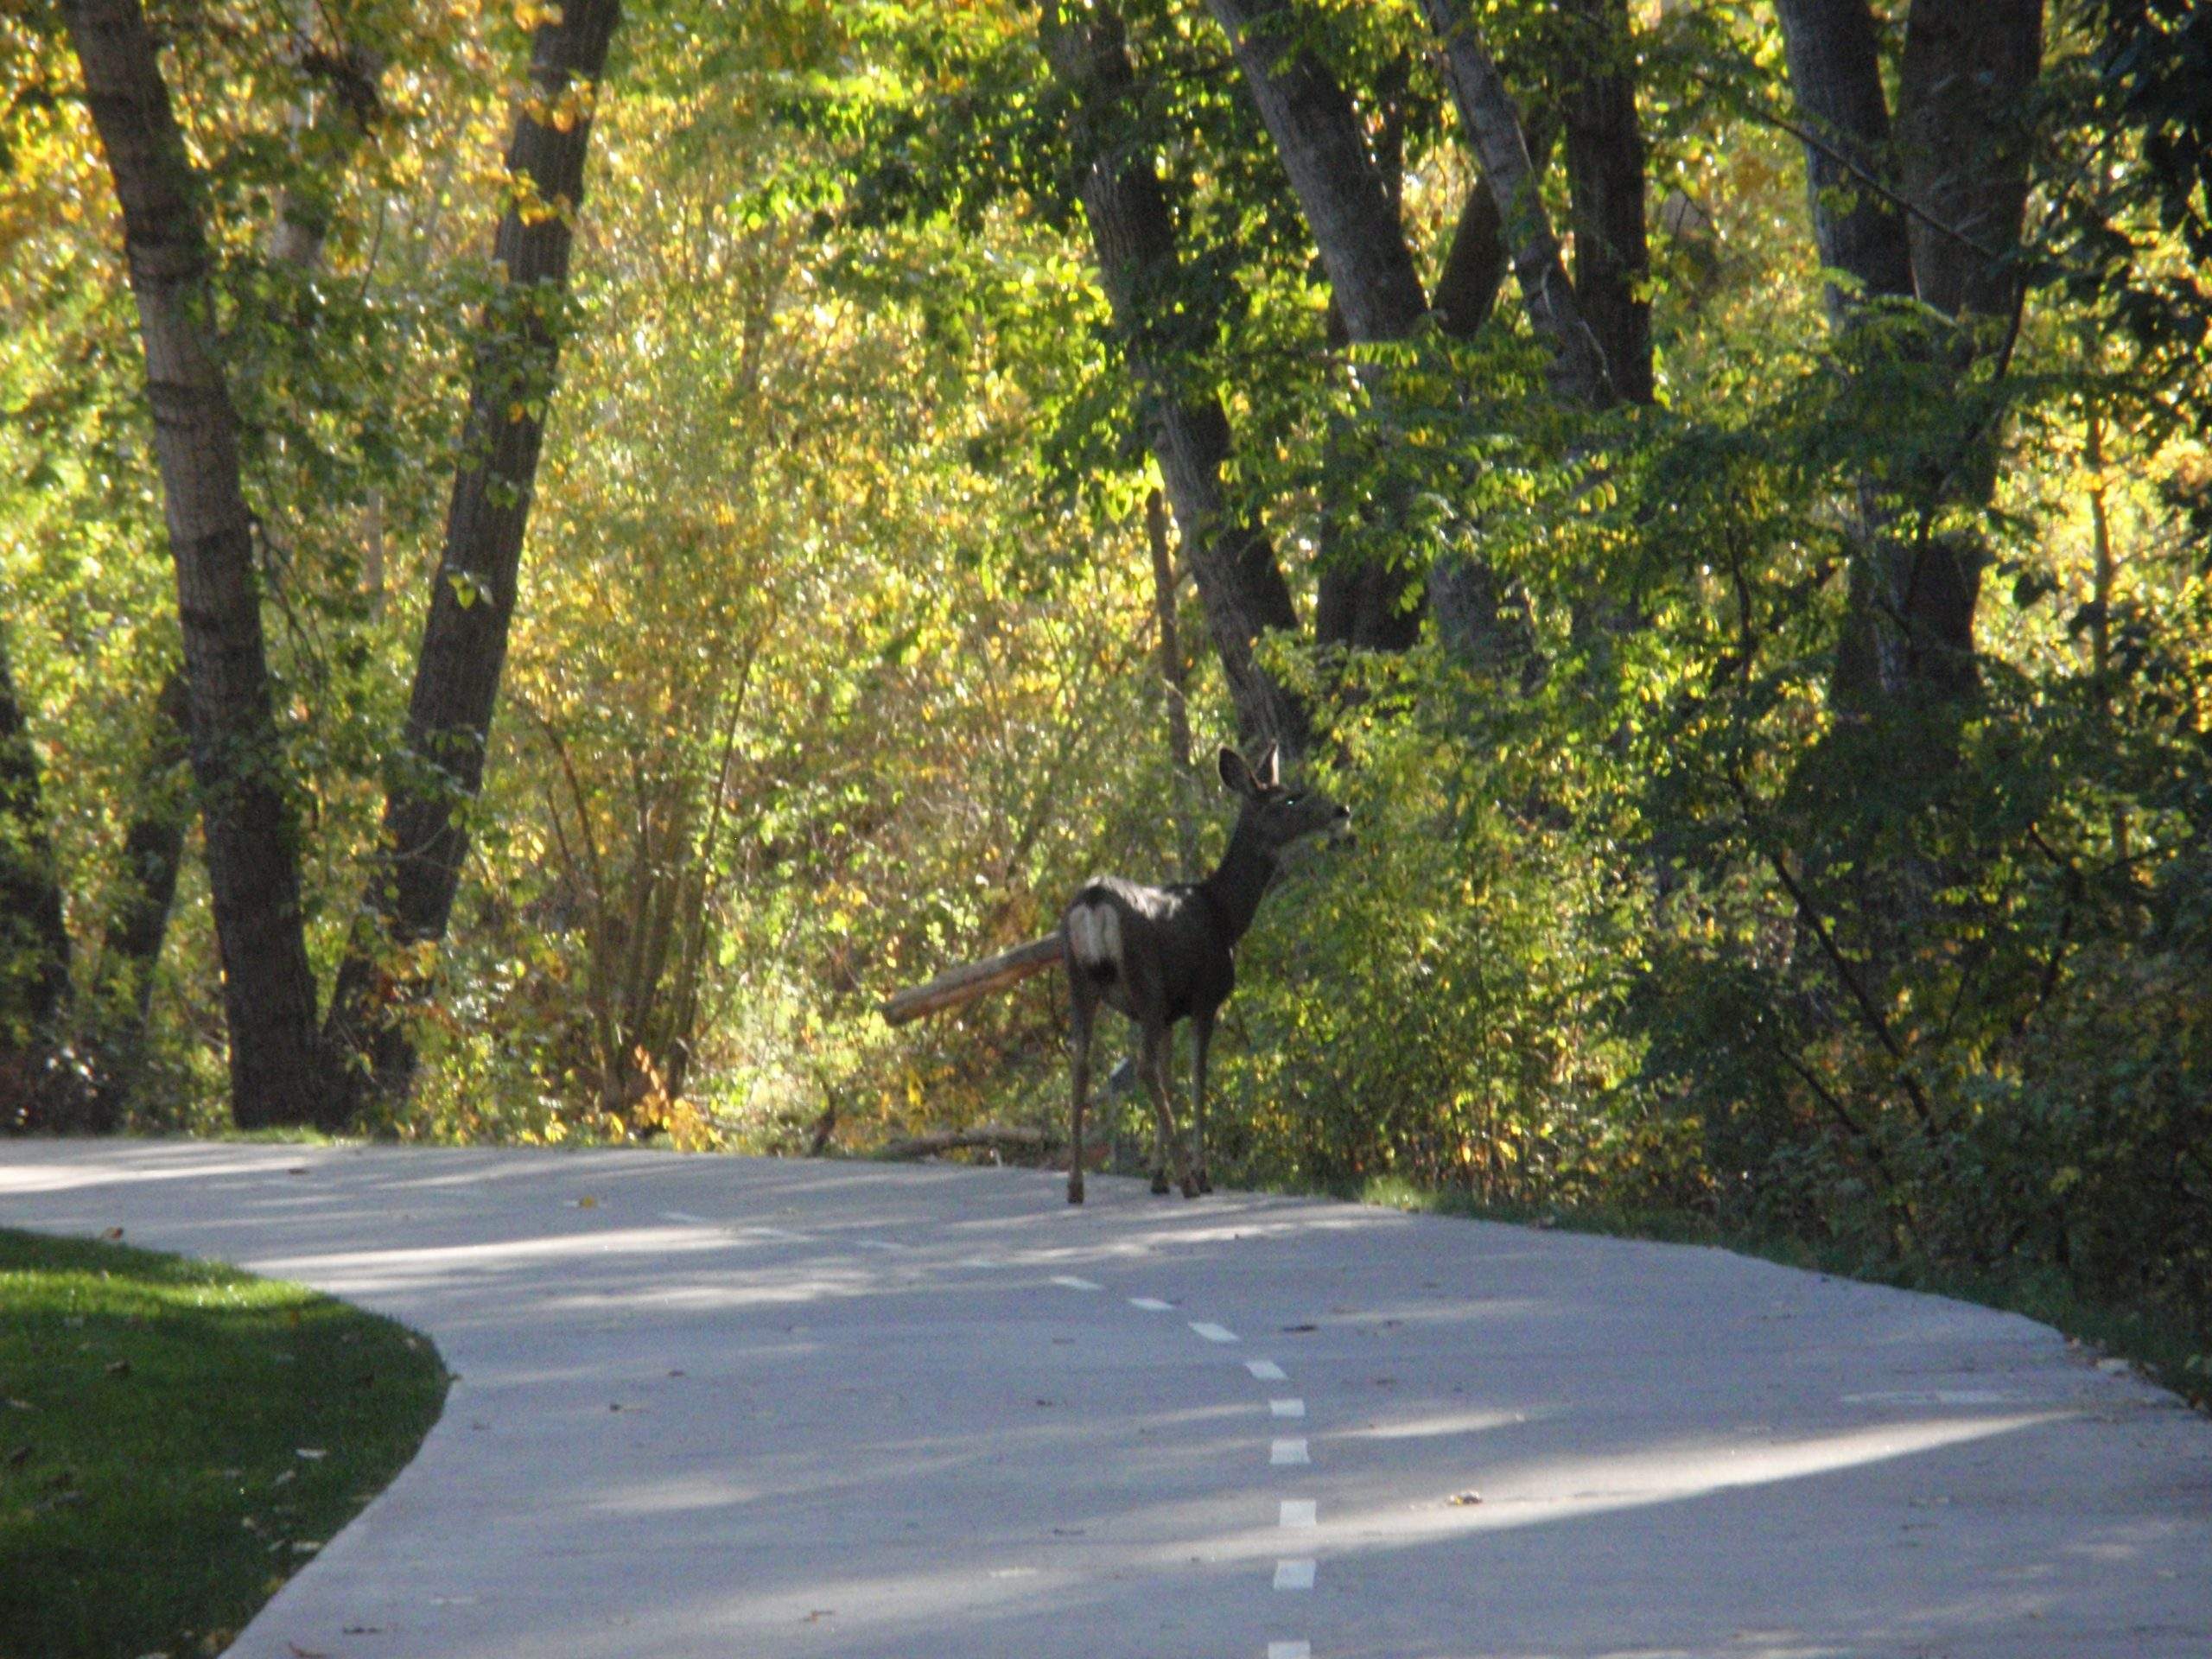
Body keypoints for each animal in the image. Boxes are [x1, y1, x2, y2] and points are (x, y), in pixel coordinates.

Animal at [1061, 743, 1350, 1203]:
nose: (1341, 810)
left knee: (1083, 1064)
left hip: (1079, 980)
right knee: (1142, 1068)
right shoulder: (1204, 998)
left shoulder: (1167, 1015)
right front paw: (1198, 1172)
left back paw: (1075, 1184)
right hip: (1145, 980)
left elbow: (1171, 1077)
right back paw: (1188, 1181)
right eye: (1289, 798)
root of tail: (1093, 900)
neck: (1226, 915)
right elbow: (1197, 1078)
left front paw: (1158, 1175)